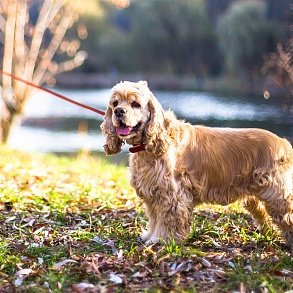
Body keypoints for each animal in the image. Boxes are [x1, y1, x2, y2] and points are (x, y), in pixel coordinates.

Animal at [101, 80, 292, 249]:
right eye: (115, 103)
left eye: (135, 104)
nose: (118, 111)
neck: (150, 145)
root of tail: (283, 143)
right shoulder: (153, 194)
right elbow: (155, 218)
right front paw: (150, 236)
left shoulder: (172, 195)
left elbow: (168, 221)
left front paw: (162, 240)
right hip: (255, 198)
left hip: (278, 195)